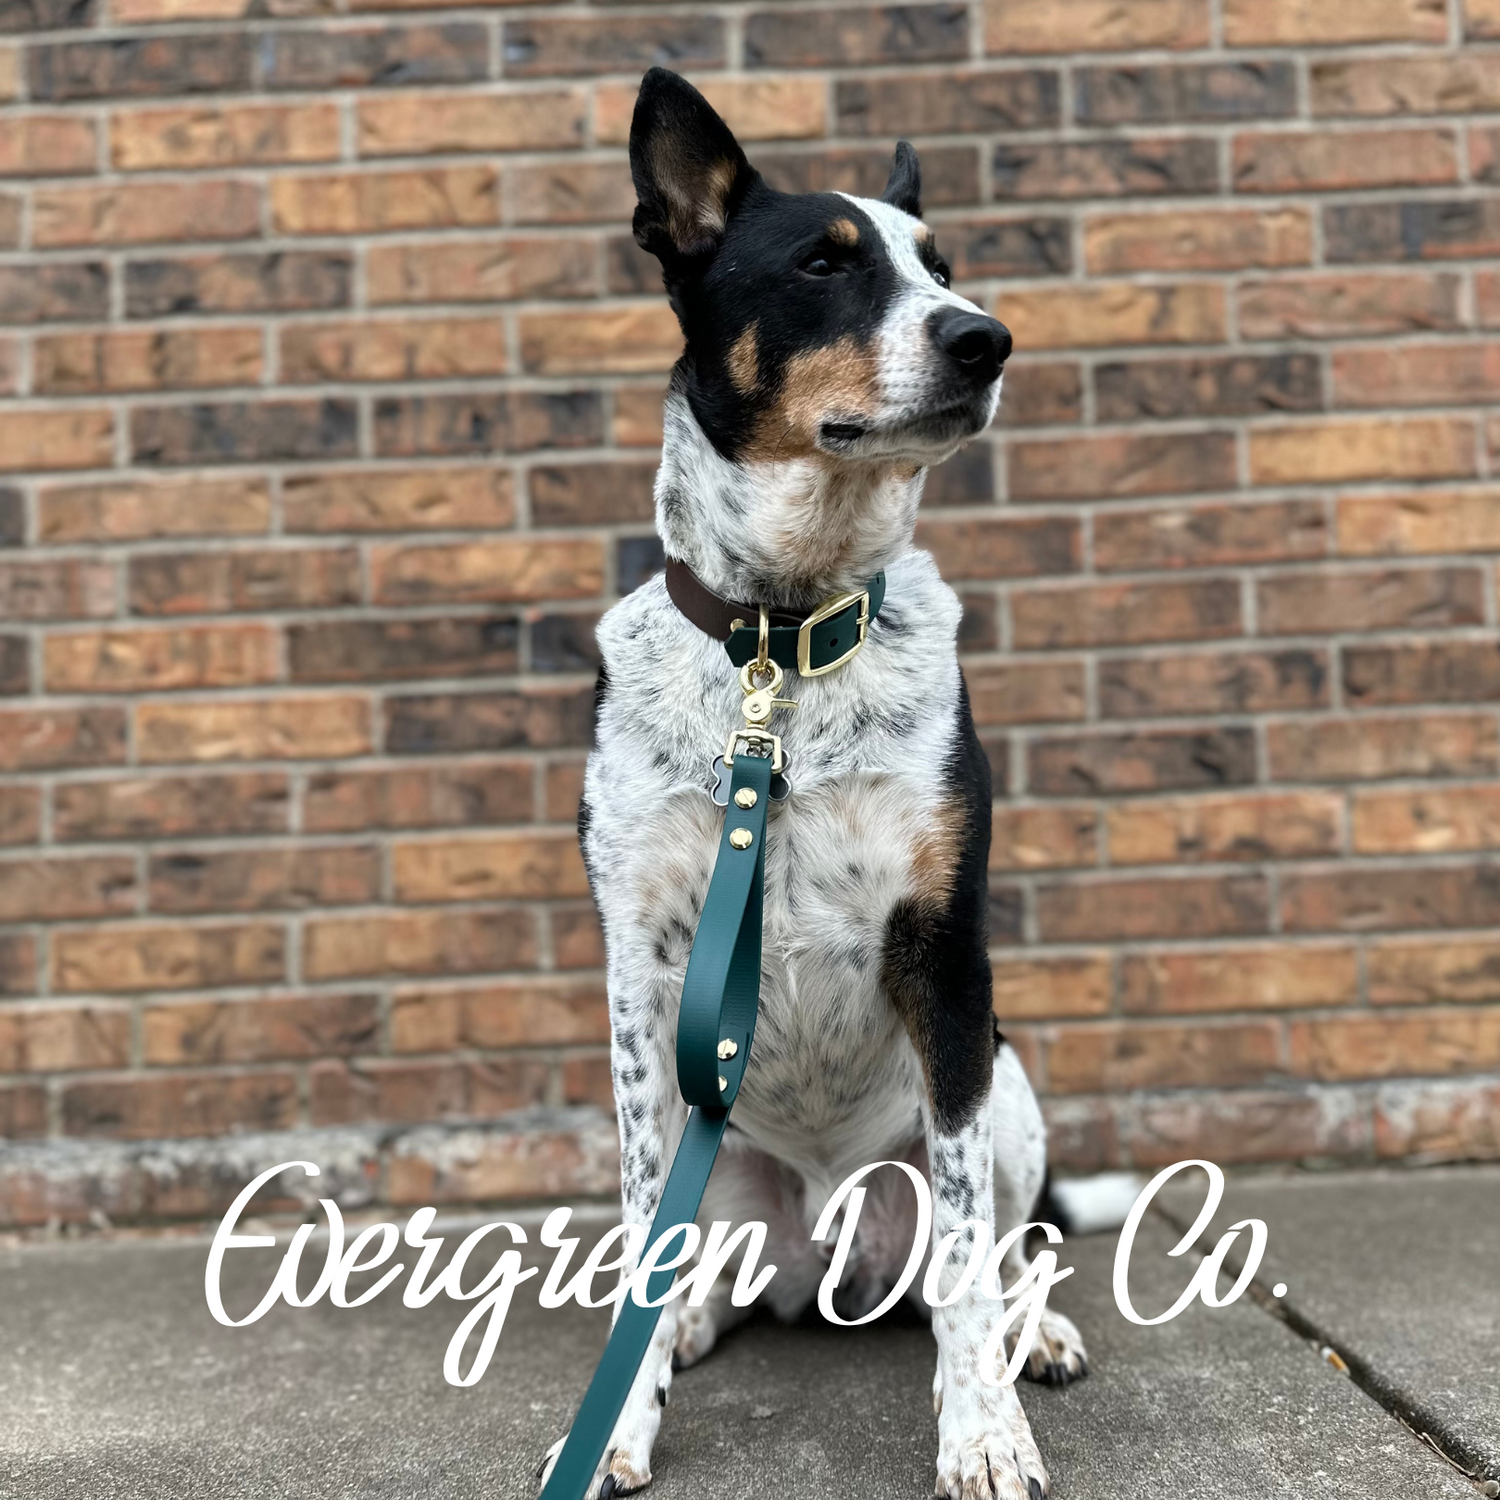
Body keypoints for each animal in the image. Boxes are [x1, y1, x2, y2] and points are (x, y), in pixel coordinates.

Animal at [546, 67, 1110, 1500]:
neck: (782, 642)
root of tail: (820, 1257)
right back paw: (699, 1316)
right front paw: (617, 1423)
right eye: (823, 263)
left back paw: (1035, 1335)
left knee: (1008, 1248)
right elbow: (641, 1230)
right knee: (705, 1257)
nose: (988, 340)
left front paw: (983, 1432)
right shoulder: (642, 972)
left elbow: (967, 1251)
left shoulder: (946, 954)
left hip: (1009, 1087)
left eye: (941, 268)